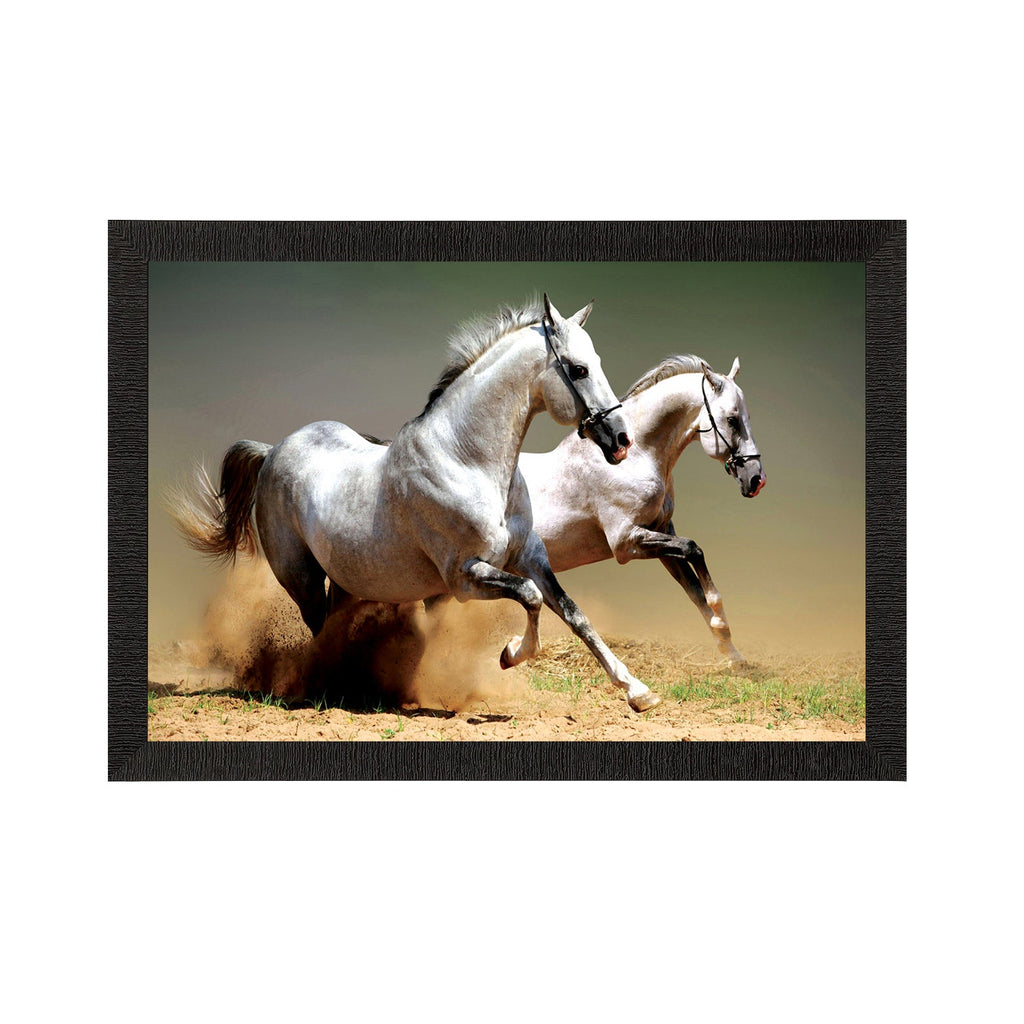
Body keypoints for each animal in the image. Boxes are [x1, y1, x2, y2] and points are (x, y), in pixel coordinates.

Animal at [170, 295, 663, 712]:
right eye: (578, 370)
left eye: (597, 363)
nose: (621, 440)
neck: (467, 460)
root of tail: (272, 450)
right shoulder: (464, 577)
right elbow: (531, 597)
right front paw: (509, 654)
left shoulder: (529, 556)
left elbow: (573, 613)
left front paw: (638, 692)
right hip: (301, 578)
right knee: (318, 629)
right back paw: (330, 688)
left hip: (347, 579)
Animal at [517, 355, 765, 667]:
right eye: (732, 419)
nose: (756, 479)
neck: (635, 457)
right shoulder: (626, 543)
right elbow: (694, 549)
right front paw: (721, 621)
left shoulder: (660, 534)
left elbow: (694, 590)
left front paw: (733, 654)